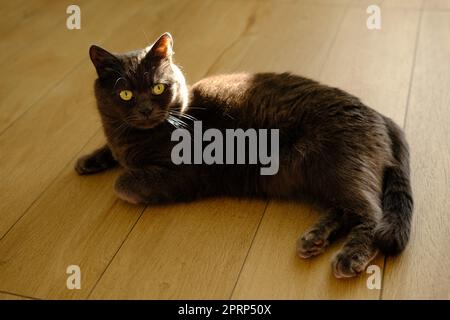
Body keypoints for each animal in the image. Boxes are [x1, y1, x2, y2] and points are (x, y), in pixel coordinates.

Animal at [74, 32, 414, 278]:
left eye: (159, 88)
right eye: (125, 94)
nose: (145, 109)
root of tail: (380, 115)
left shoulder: (183, 172)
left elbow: (122, 183)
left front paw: (124, 179)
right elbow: (110, 150)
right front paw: (87, 160)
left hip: (338, 166)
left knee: (371, 213)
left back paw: (349, 256)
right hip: (319, 176)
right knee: (346, 209)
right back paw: (314, 238)